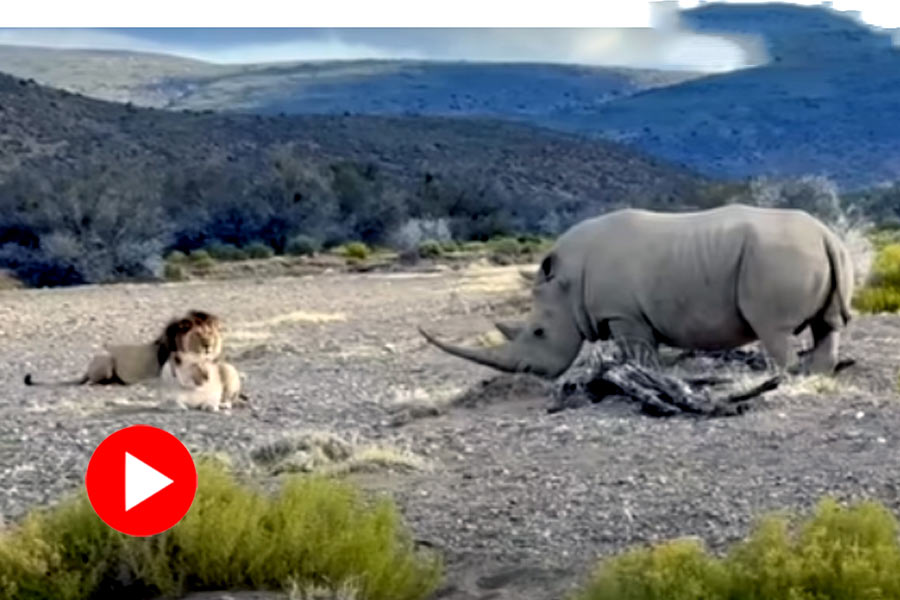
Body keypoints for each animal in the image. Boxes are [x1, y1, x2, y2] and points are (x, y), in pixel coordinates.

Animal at [24, 310, 223, 390]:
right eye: (198, 334)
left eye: (211, 333)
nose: (209, 346)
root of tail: (88, 367)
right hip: (106, 359)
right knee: (91, 383)